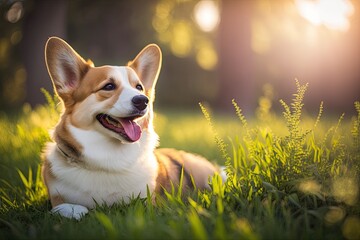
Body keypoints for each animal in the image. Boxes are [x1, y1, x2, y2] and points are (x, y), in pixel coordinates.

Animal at [40, 37, 224, 219]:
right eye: (108, 86)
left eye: (139, 87)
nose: (143, 100)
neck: (109, 157)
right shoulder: (57, 199)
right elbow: (69, 208)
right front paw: (77, 210)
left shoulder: (147, 200)